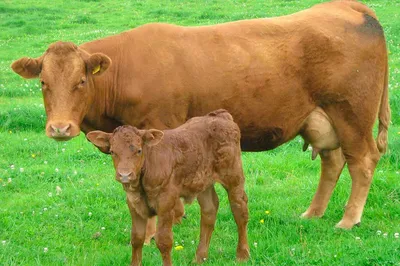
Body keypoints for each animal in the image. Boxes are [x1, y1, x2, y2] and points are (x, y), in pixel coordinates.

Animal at [10, 0, 390, 229]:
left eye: (81, 80)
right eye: (43, 82)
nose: (60, 128)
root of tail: (347, 6)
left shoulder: (157, 133)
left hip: (352, 114)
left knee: (362, 161)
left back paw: (348, 220)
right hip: (321, 119)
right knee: (333, 161)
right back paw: (313, 213)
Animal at [86, 109, 248, 264]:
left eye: (139, 150)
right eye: (112, 152)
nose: (124, 175)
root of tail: (219, 115)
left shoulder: (166, 203)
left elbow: (164, 241)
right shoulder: (133, 204)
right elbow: (137, 238)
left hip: (233, 176)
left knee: (239, 209)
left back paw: (242, 255)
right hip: (203, 181)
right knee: (209, 210)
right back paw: (199, 258)